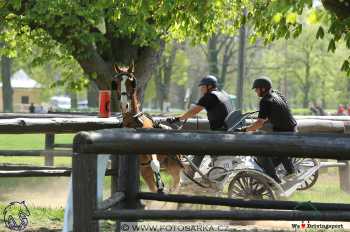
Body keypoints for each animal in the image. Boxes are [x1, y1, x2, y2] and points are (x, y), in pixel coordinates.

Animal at [113, 62, 183, 193]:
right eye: (117, 82)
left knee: (177, 181)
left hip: (174, 166)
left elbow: (155, 163)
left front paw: (161, 185)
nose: (124, 105)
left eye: (131, 82)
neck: (134, 121)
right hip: (146, 171)